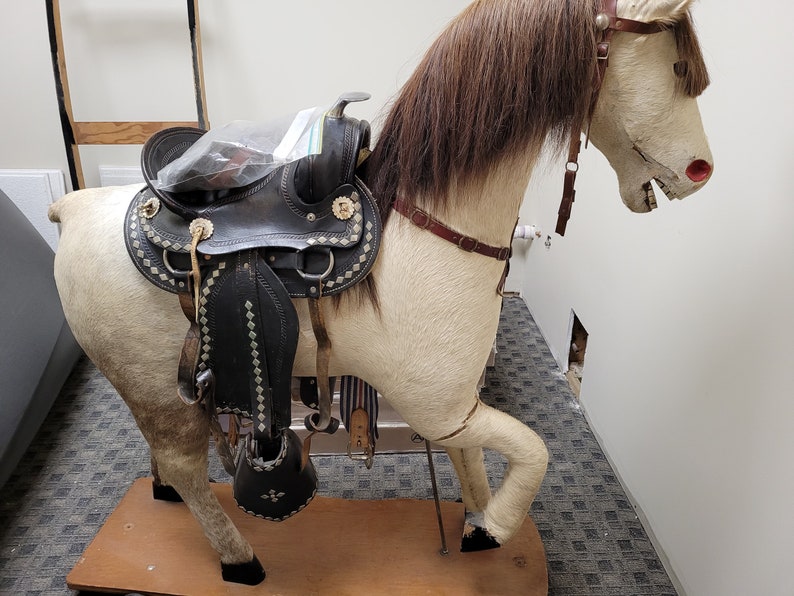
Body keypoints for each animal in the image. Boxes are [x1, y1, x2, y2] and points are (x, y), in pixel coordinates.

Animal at [48, 0, 712, 585]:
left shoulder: (457, 412)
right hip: (155, 388)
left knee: (169, 459)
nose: (701, 171)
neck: (428, 233)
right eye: (680, 69)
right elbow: (535, 450)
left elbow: (477, 468)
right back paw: (241, 561)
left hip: (166, 388)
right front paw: (494, 528)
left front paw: (476, 524)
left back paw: (162, 494)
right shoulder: (437, 410)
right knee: (186, 469)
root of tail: (73, 207)